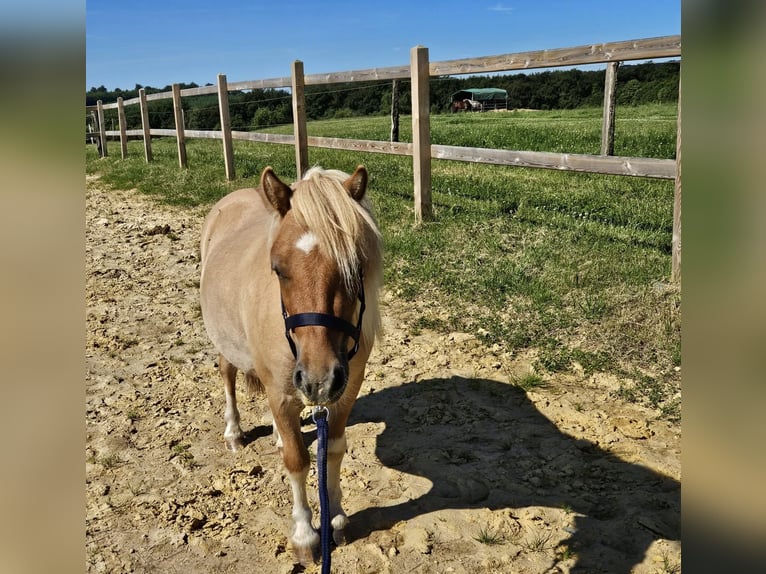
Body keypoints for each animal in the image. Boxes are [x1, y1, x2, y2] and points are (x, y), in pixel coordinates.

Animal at [199, 165, 382, 564]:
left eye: (356, 267)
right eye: (278, 269)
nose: (319, 379)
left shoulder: (345, 392)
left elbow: (333, 451)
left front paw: (337, 518)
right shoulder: (283, 394)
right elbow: (298, 461)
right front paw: (305, 535)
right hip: (227, 346)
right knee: (228, 375)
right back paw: (234, 432)